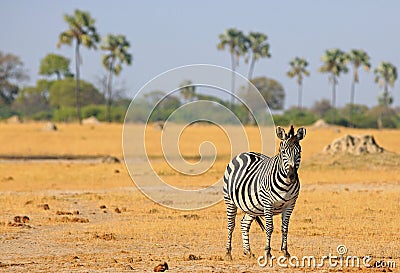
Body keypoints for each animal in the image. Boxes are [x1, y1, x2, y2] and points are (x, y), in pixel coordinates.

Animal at [222, 124, 306, 258]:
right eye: (283, 152)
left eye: (299, 152)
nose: (292, 176)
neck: (286, 185)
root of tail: (244, 153)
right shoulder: (268, 203)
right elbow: (269, 227)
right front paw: (268, 252)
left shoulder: (290, 205)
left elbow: (285, 227)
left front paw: (285, 252)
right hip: (229, 200)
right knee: (231, 225)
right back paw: (228, 253)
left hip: (252, 205)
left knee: (244, 223)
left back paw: (248, 251)